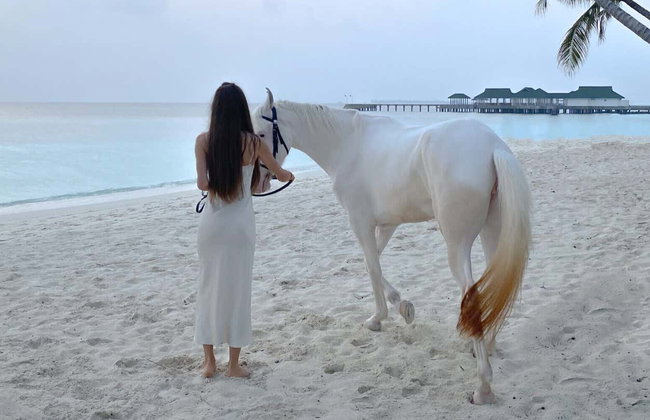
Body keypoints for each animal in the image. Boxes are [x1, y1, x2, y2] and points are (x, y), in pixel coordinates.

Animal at [252, 89, 531, 404]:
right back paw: (487, 346)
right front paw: (391, 313)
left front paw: (390, 313)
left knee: (471, 295)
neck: (347, 143)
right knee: (495, 285)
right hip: (491, 234)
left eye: (261, 133)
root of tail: (492, 147)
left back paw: (483, 386)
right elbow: (371, 263)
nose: (259, 182)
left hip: (457, 244)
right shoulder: (387, 225)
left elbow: (372, 267)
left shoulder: (360, 222)